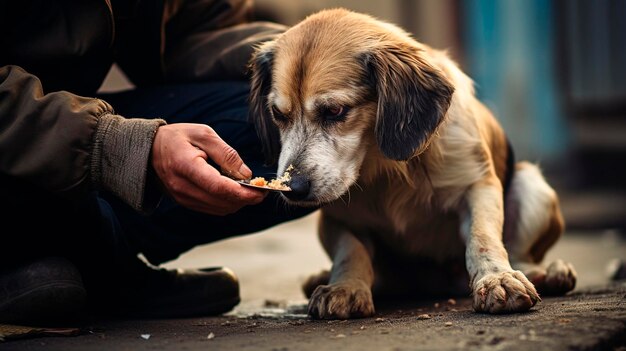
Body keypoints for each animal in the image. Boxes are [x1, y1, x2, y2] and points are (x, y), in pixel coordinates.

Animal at [245, 8, 576, 320]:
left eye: (335, 111)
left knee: (521, 253)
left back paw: (547, 273)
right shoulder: (337, 216)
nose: (293, 189)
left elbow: (482, 237)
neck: (384, 167)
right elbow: (351, 250)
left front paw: (498, 279)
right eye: (278, 114)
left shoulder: (478, 185)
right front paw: (346, 287)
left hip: (532, 185)